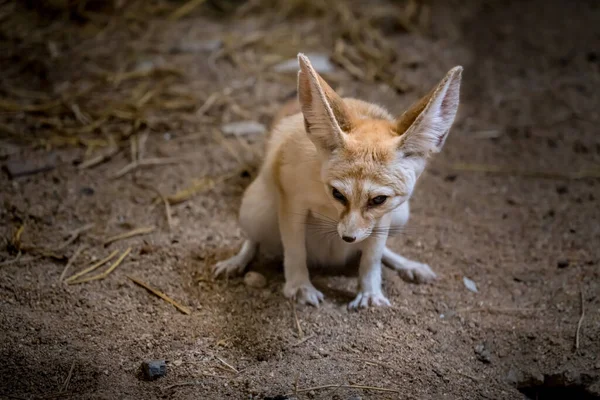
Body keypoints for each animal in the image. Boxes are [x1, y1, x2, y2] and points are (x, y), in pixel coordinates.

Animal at [213, 53, 462, 310]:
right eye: (338, 194)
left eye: (378, 200)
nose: (348, 238)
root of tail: (328, 260)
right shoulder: (292, 201)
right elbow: (294, 251)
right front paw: (299, 286)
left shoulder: (384, 215)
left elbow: (372, 257)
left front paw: (370, 292)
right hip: (255, 210)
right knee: (254, 240)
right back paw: (236, 261)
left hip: (401, 216)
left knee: (379, 250)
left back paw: (409, 265)